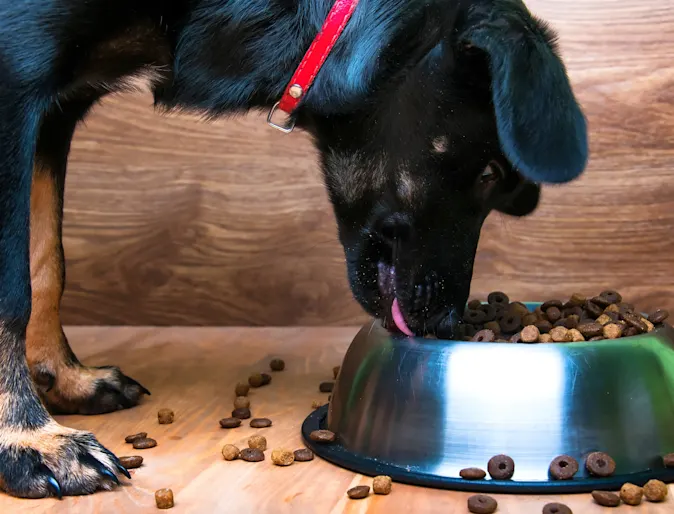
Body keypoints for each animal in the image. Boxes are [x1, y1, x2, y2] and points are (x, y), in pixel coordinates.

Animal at [0, 0, 584, 498]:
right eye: (490, 173)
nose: (445, 326)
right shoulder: (17, 82)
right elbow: (14, 290)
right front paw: (28, 440)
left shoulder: (57, 108)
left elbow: (47, 260)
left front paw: (64, 378)